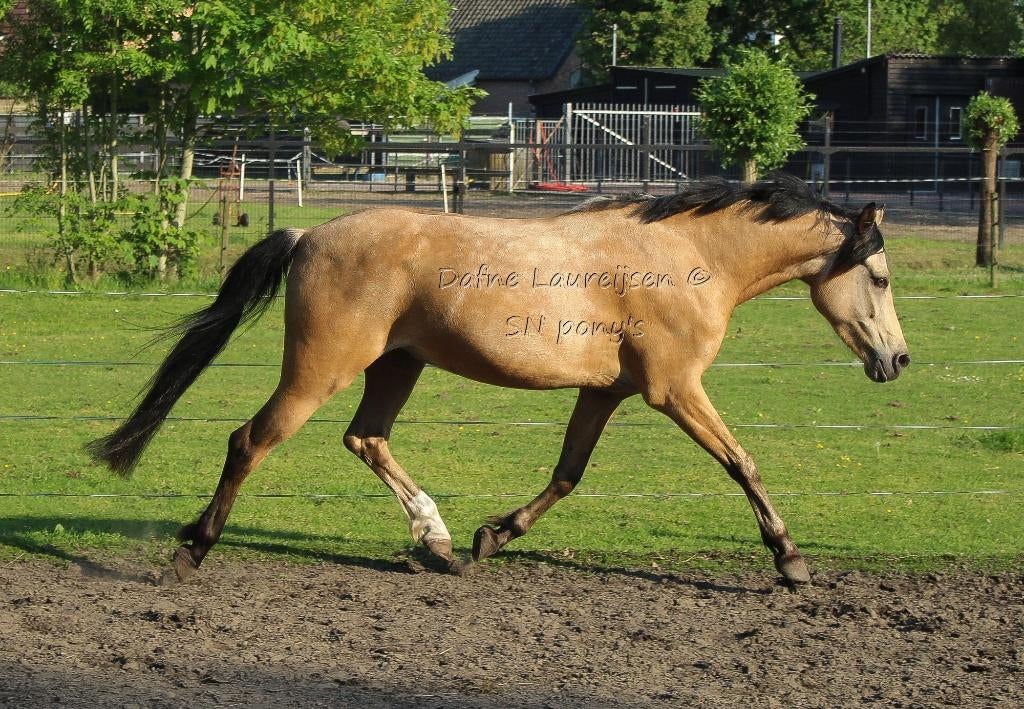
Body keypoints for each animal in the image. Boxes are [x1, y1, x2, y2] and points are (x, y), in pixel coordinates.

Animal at [88, 173, 910, 585]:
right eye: (879, 276)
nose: (897, 360)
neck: (686, 255)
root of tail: (310, 234)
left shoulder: (604, 392)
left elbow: (568, 474)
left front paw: (492, 536)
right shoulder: (674, 390)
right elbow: (743, 461)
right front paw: (791, 562)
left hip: (397, 365)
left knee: (366, 438)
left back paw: (439, 542)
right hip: (321, 368)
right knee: (250, 441)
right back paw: (193, 550)